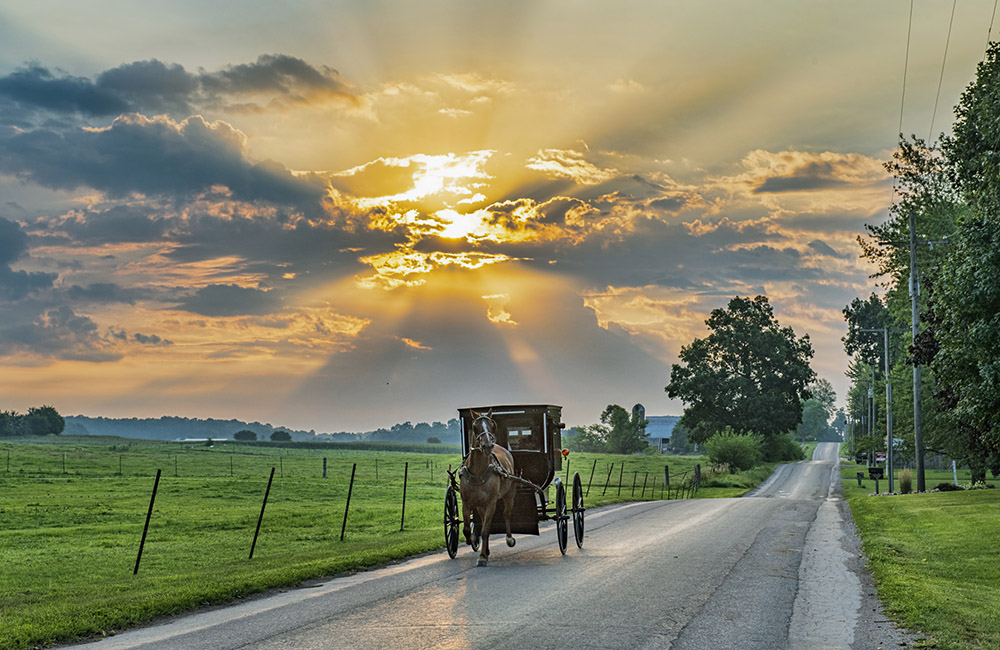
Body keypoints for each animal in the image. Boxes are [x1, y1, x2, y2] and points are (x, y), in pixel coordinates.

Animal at [458, 410, 516, 568]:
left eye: (492, 425)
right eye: (474, 426)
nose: (488, 446)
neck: (478, 471)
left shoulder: (491, 503)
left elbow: (484, 530)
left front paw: (482, 557)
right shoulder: (466, 503)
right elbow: (467, 529)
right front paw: (472, 540)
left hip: (509, 495)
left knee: (506, 514)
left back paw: (509, 539)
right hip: (479, 505)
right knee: (484, 520)